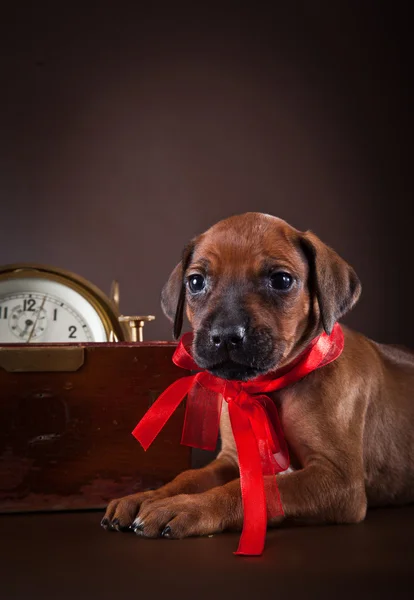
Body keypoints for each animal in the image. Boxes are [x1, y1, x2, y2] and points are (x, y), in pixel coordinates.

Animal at [101, 212, 414, 540]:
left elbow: (249, 490)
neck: (271, 386)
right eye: (196, 282)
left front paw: (186, 506)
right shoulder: (231, 459)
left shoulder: (338, 479)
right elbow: (189, 476)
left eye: (281, 280)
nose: (225, 336)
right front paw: (147, 496)